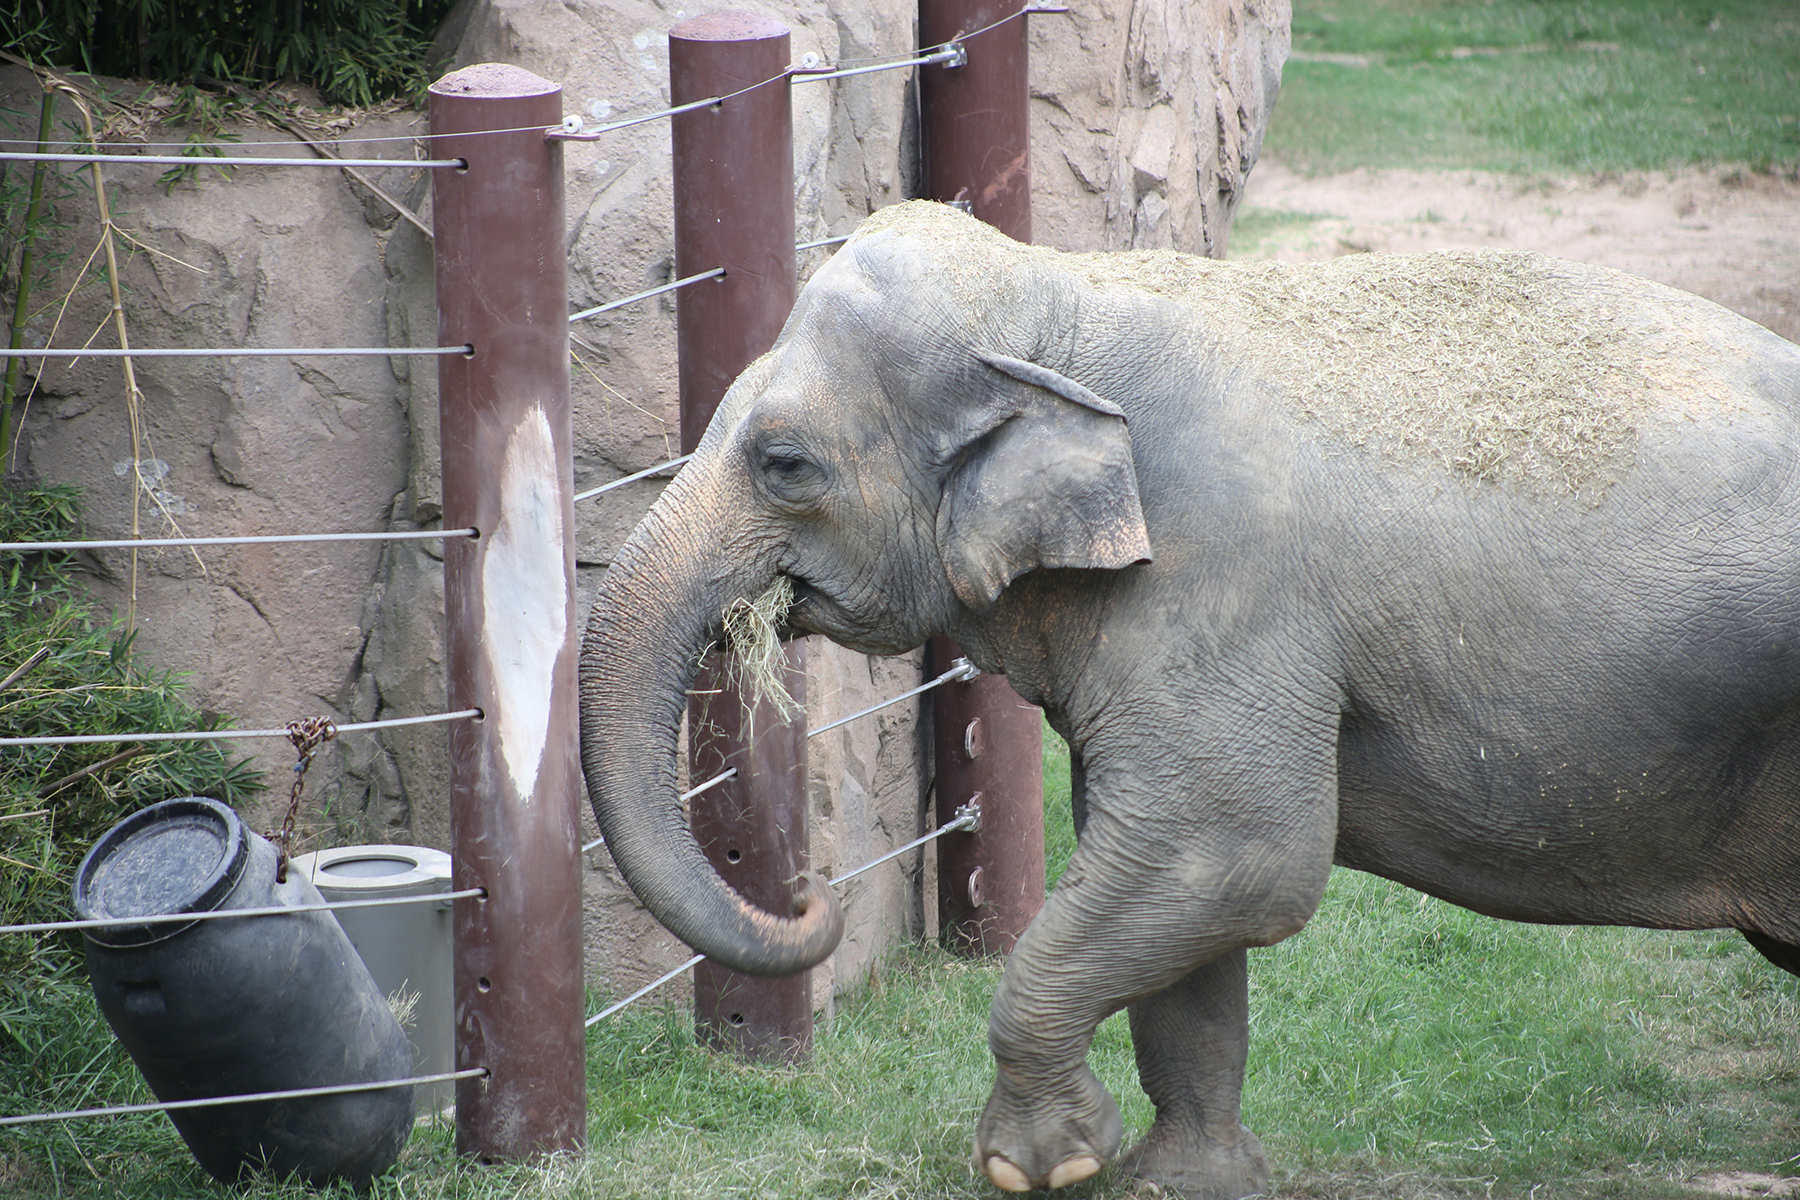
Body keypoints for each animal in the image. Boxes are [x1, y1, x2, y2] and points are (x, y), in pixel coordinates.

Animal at [576, 201, 1800, 1194]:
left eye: (784, 463)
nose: (809, 897)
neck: (1061, 301)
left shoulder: (1217, 586)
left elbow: (1231, 854)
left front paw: (1044, 1166)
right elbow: (1186, 906)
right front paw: (1183, 1180)